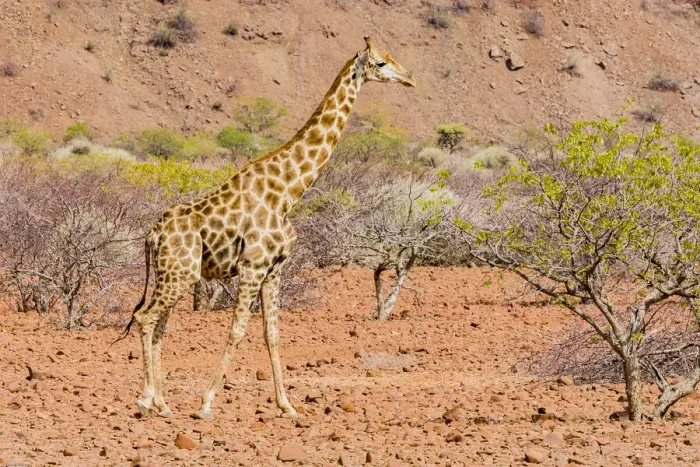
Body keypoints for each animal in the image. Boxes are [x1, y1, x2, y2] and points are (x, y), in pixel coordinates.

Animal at [122, 36, 415, 420]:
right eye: (381, 62)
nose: (410, 78)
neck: (288, 192)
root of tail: (152, 234)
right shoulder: (252, 266)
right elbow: (237, 331)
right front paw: (206, 403)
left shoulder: (274, 269)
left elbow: (271, 333)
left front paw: (287, 405)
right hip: (179, 273)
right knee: (145, 318)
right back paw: (146, 399)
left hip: (175, 273)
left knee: (158, 325)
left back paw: (162, 402)